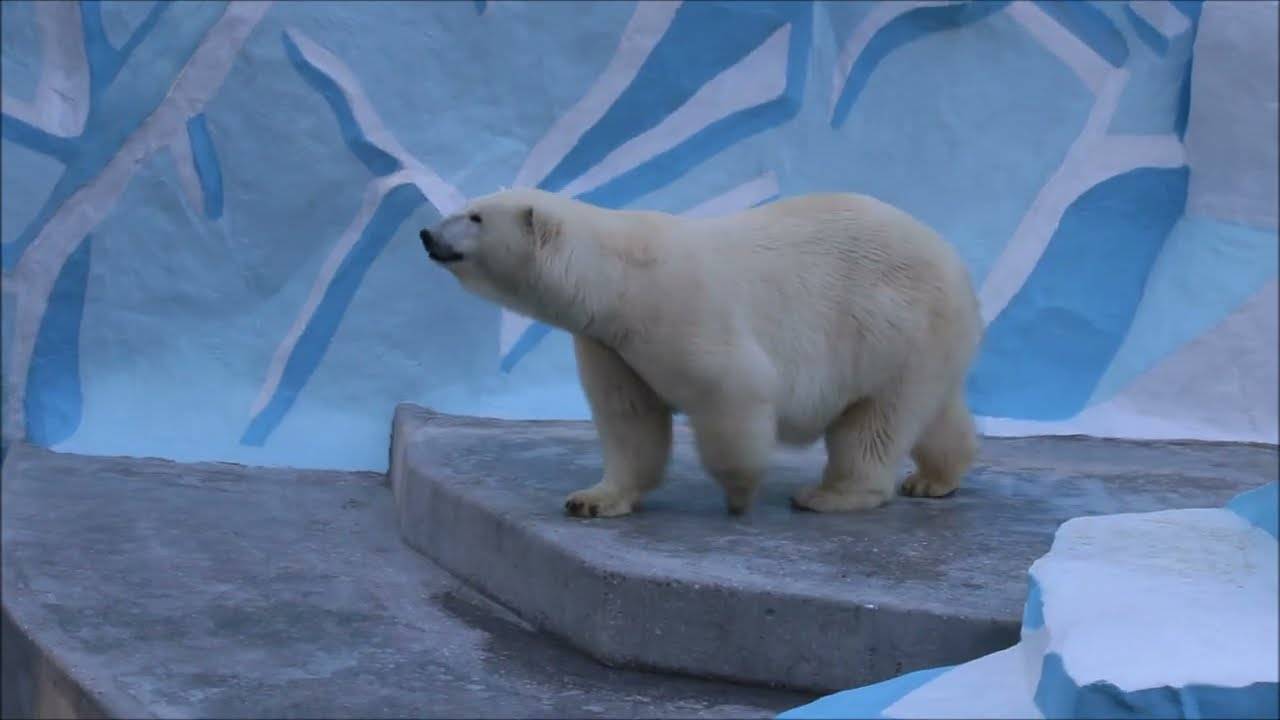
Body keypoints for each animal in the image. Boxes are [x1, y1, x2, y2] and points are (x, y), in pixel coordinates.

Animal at [419, 188, 977, 515]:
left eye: (474, 217)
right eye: (462, 209)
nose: (426, 233)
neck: (618, 279)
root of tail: (955, 264)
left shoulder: (680, 310)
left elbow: (731, 390)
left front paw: (739, 492)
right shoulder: (609, 343)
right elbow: (629, 419)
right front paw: (594, 499)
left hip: (891, 325)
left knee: (874, 421)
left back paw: (831, 494)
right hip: (923, 343)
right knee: (930, 411)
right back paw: (933, 478)